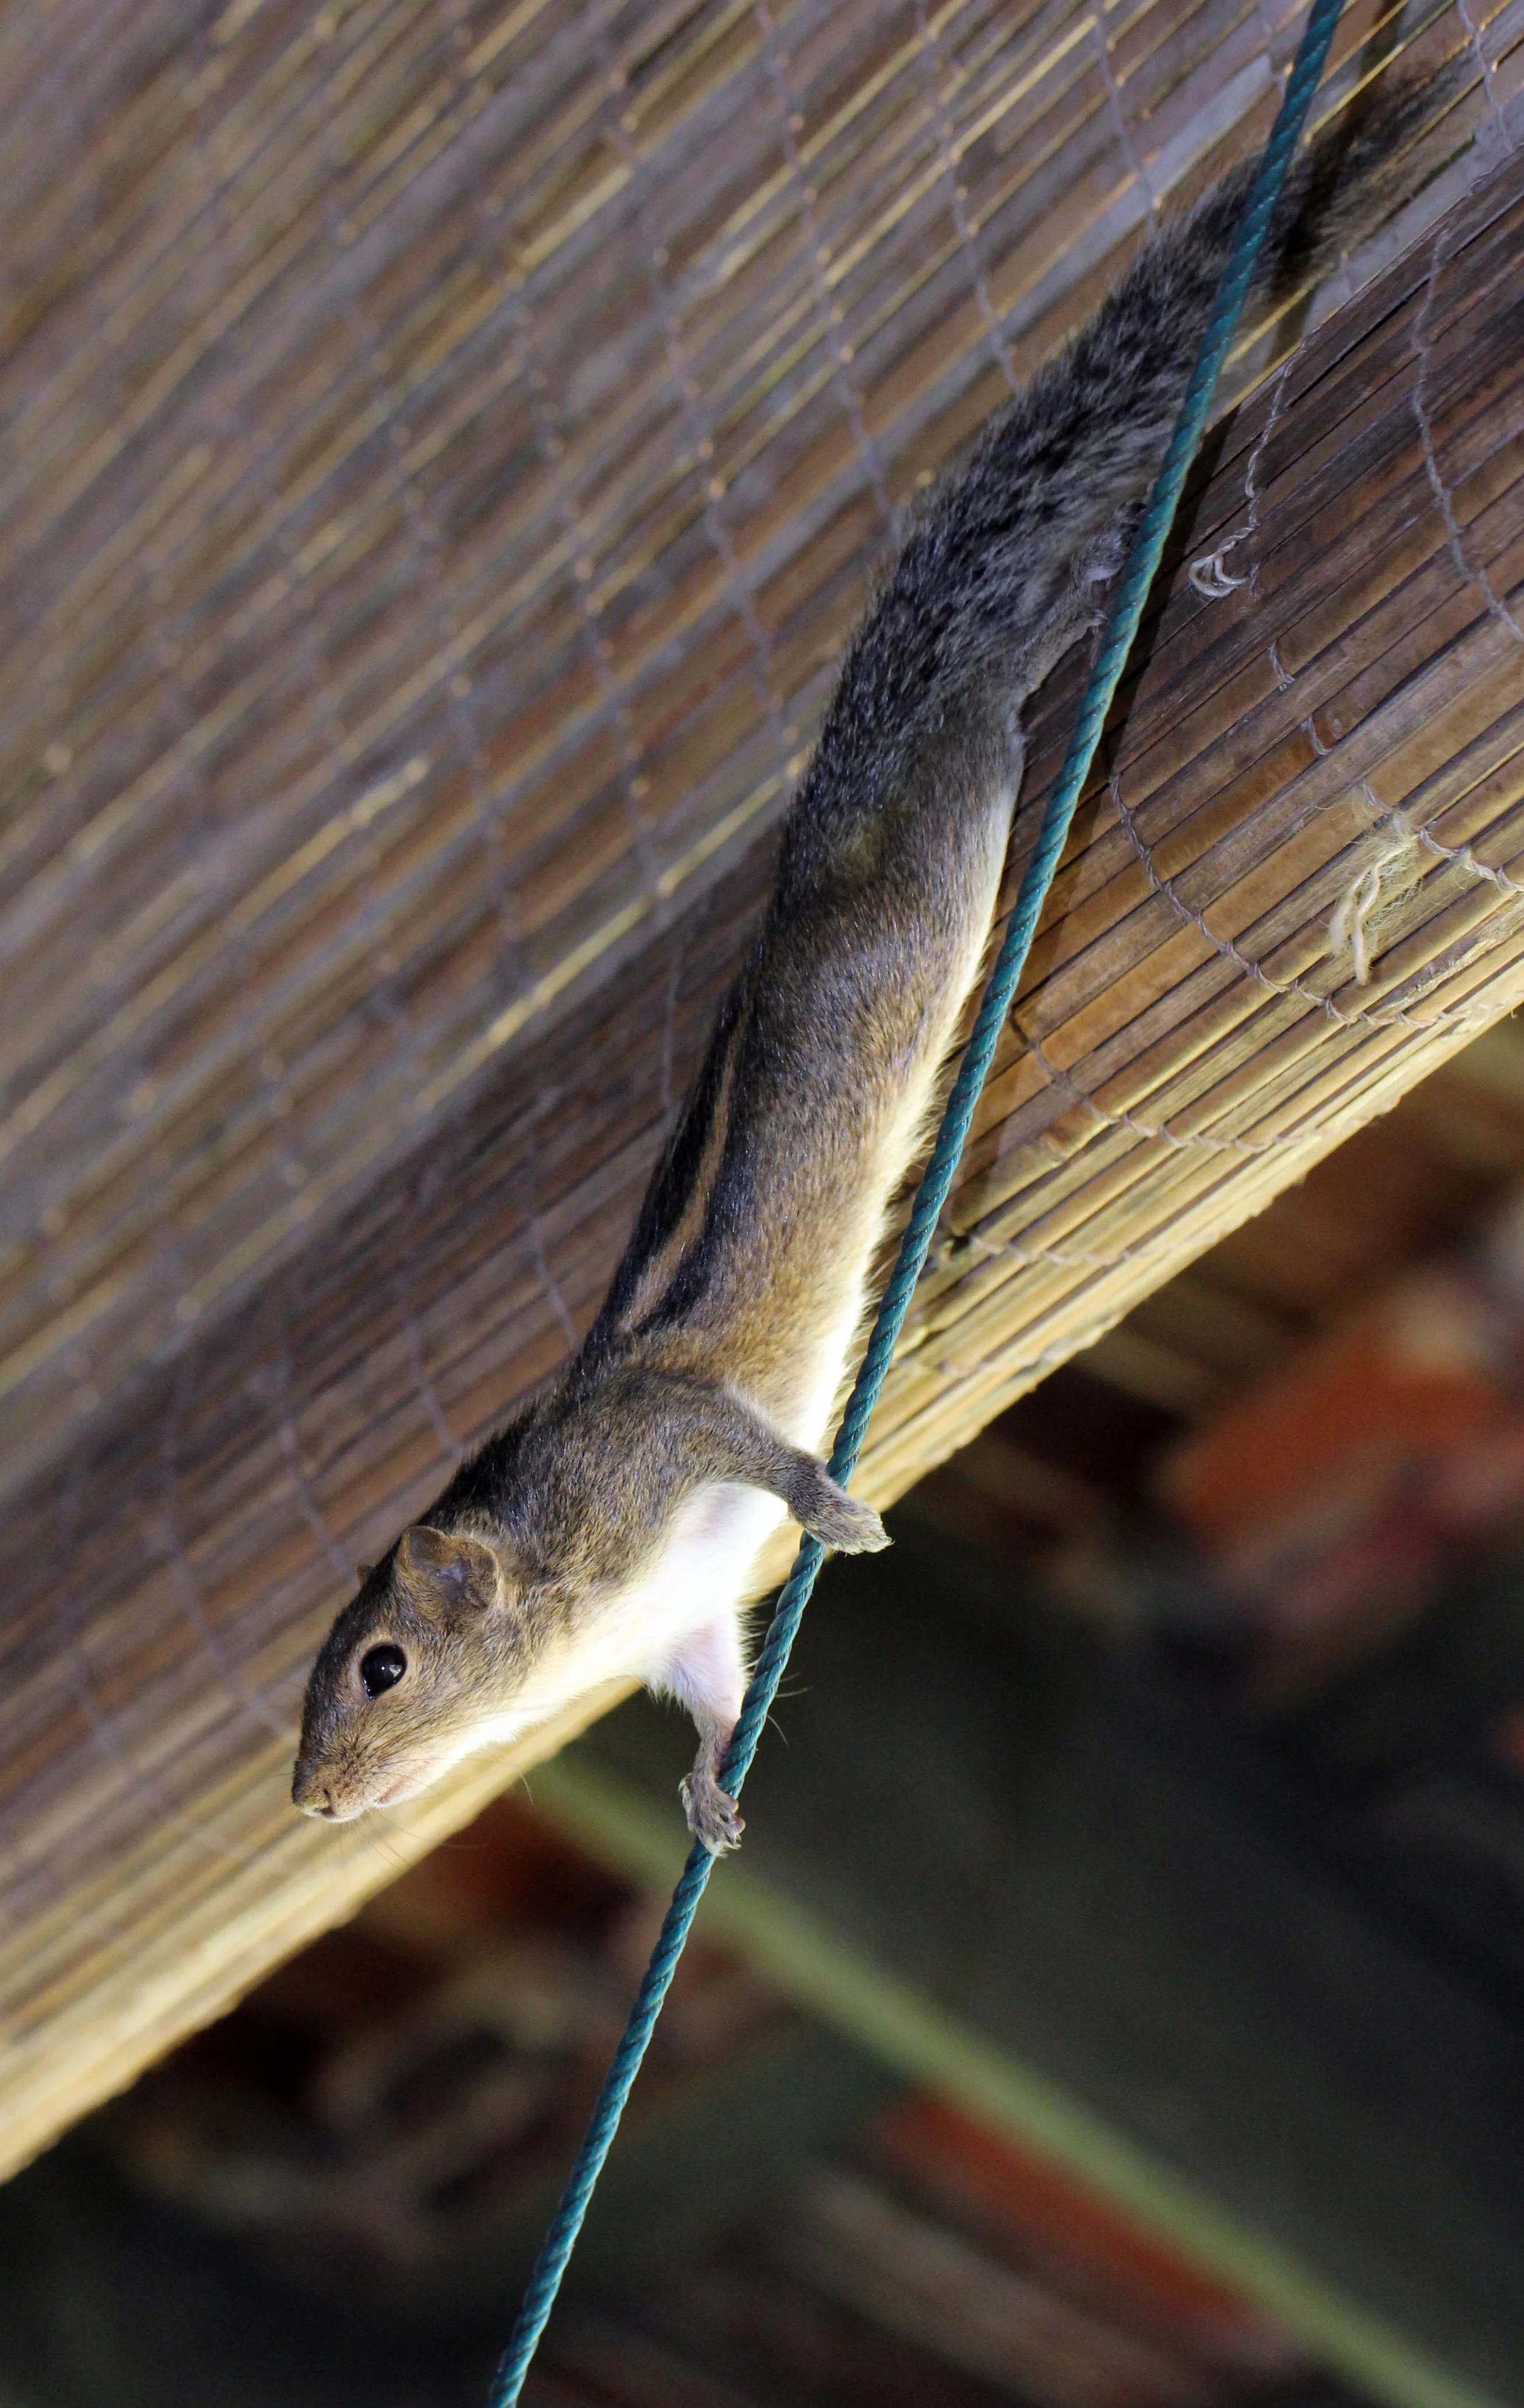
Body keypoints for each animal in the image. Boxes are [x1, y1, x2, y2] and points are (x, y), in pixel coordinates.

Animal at [294, 72, 1447, 1852]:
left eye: (382, 1667)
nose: (313, 1798)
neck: (565, 1579)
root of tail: (855, 768)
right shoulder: (690, 1618)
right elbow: (712, 1692)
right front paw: (709, 1795)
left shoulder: (662, 1437)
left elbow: (749, 1447)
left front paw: (830, 1508)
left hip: (953, 795)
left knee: (1001, 673)